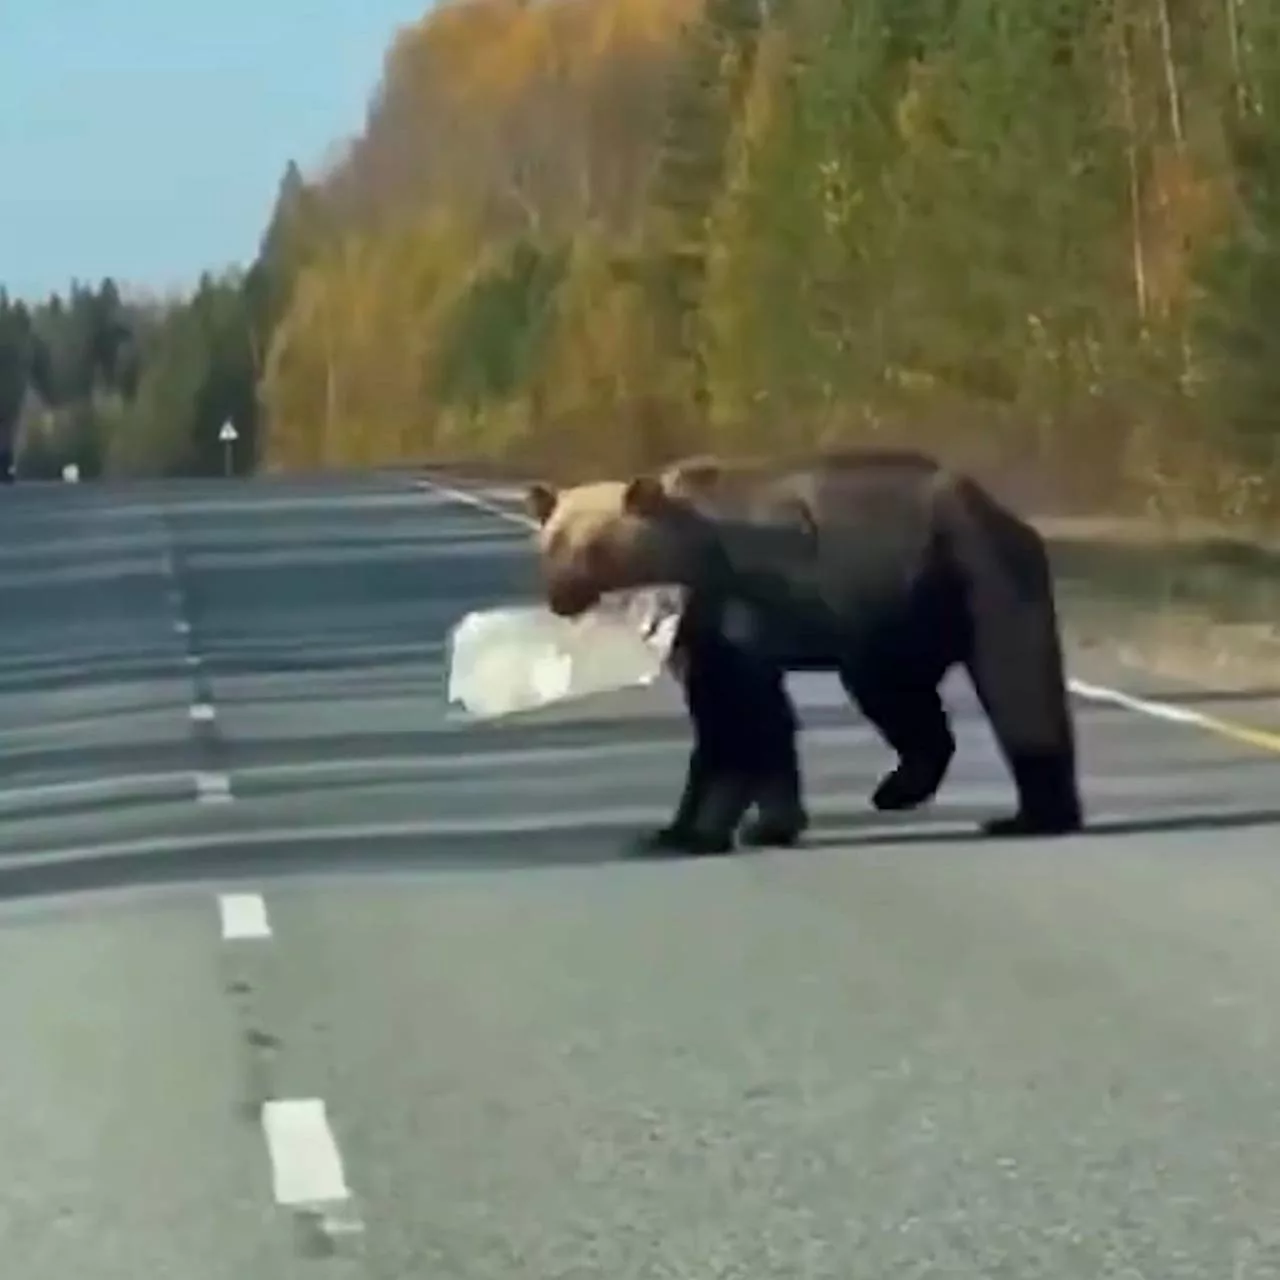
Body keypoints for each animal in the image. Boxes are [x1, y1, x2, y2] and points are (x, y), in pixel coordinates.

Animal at [524, 448, 1085, 854]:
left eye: (596, 547)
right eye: (552, 544)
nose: (562, 597)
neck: (690, 563)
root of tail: (994, 505)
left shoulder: (736, 608)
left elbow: (742, 721)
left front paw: (710, 831)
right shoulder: (700, 634)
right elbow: (737, 724)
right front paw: (687, 828)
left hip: (972, 576)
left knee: (1017, 687)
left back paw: (1029, 816)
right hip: (899, 618)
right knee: (905, 701)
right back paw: (905, 788)